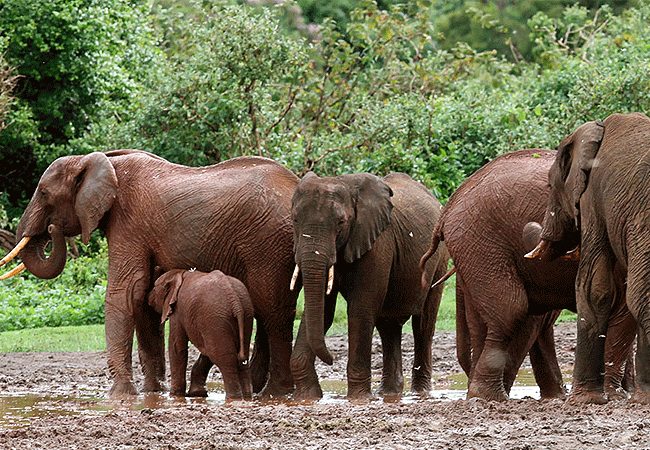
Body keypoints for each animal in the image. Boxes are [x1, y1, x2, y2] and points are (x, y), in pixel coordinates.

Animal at [149, 268, 253, 400]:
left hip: (216, 318)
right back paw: (248, 398)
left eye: (155, 287)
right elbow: (206, 351)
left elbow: (177, 347)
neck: (179, 274)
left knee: (224, 359)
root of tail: (235, 301)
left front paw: (174, 396)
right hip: (246, 313)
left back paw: (234, 398)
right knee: (241, 358)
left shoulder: (178, 311)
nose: (148, 298)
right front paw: (196, 394)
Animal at [286, 171, 448, 400]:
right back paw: (389, 393)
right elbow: (322, 311)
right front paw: (308, 398)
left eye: (341, 222)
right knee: (388, 326)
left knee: (423, 325)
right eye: (295, 220)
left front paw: (359, 398)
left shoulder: (378, 243)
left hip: (439, 258)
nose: (331, 359)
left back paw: (419, 393)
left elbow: (360, 310)